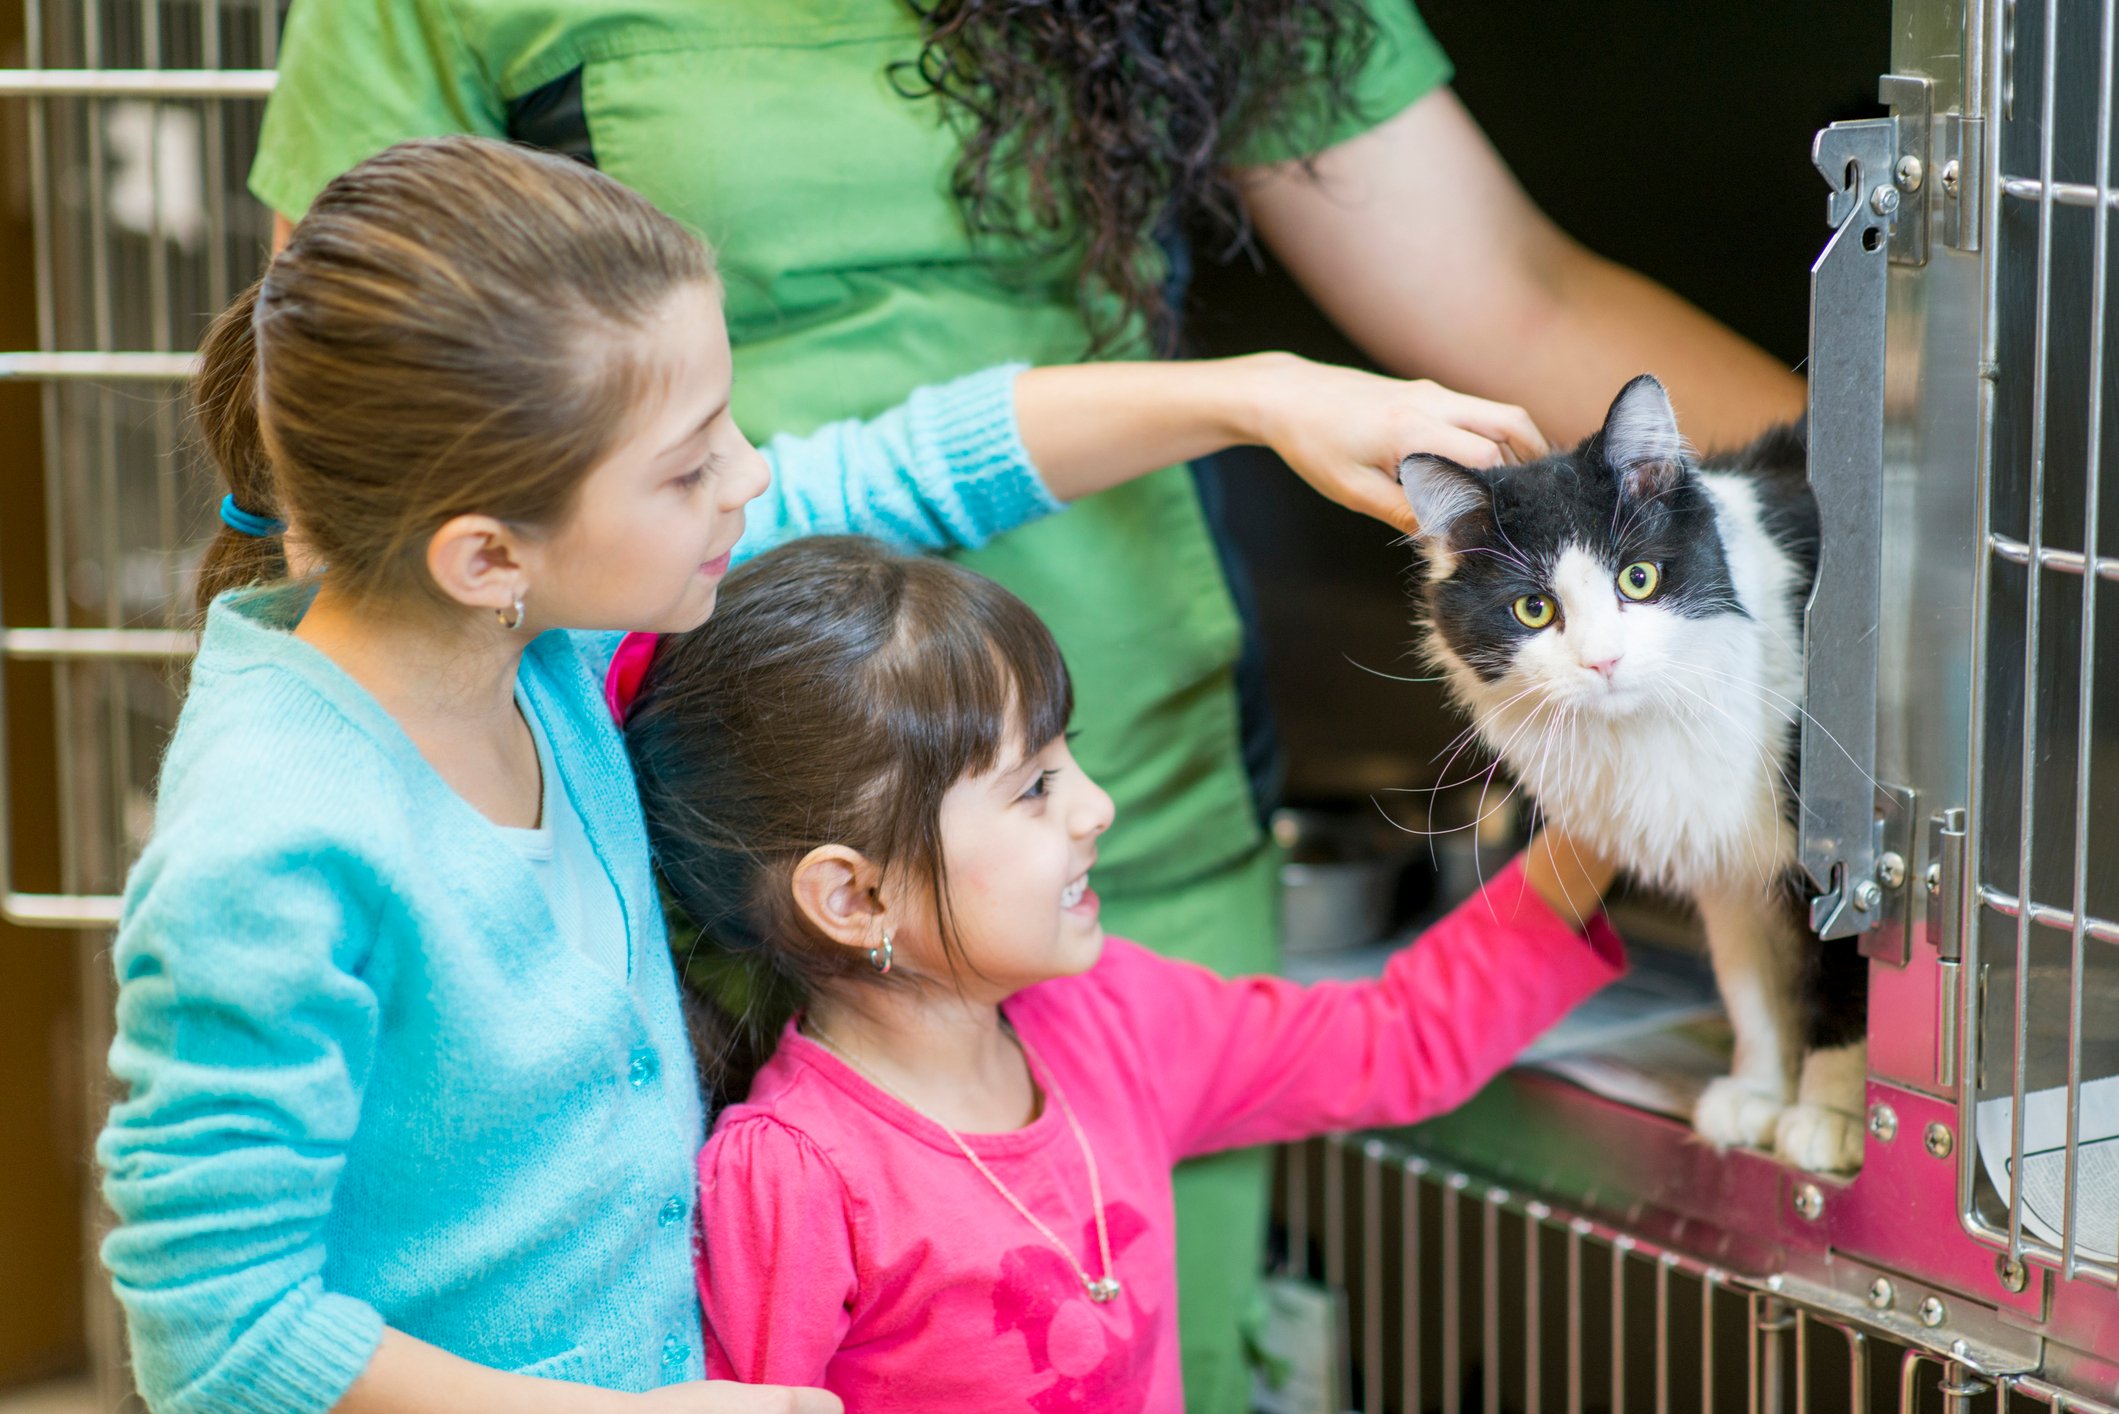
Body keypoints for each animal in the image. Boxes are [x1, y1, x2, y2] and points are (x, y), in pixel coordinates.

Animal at [1398, 373, 1864, 1170]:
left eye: (1637, 579)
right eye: (1533, 608)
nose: (1604, 661)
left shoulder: (1846, 857)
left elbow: (1844, 980)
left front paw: (1830, 1114)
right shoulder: (1724, 861)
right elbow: (1753, 989)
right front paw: (1759, 1093)